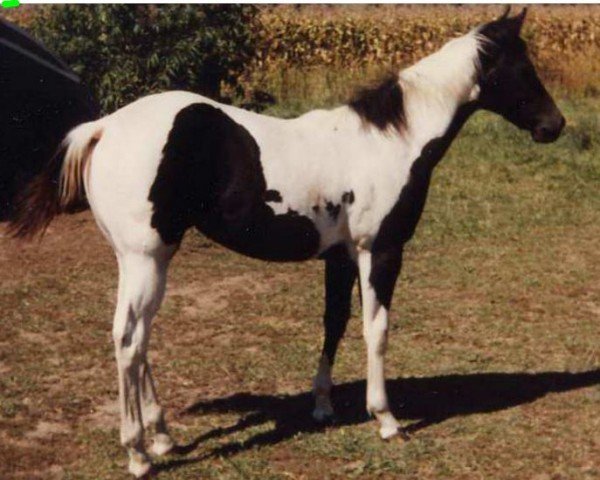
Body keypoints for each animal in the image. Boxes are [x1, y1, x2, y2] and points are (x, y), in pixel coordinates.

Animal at [9, 9, 564, 478]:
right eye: (522, 66)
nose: (553, 125)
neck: (392, 142)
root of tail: (102, 128)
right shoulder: (380, 251)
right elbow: (376, 330)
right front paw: (386, 419)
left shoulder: (341, 256)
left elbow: (335, 323)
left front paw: (322, 406)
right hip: (144, 258)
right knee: (128, 340)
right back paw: (139, 454)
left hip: (150, 260)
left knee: (140, 338)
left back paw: (162, 436)